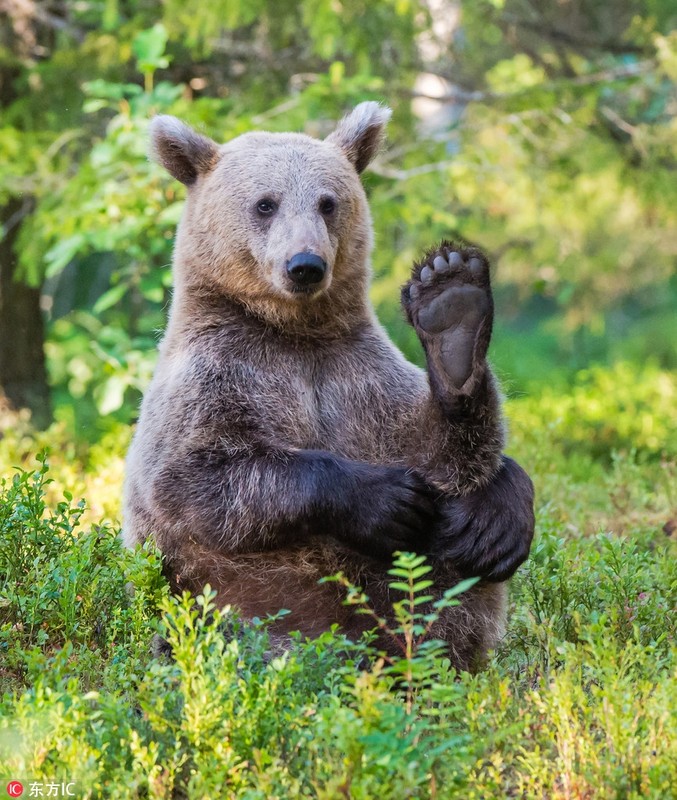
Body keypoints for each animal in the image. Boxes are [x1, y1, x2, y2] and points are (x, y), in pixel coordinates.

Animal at [121, 103, 532, 672]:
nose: (305, 265)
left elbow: (439, 454)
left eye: (327, 202)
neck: (295, 333)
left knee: (453, 578)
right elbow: (195, 477)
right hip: (248, 600)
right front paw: (386, 499)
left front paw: (450, 311)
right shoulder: (215, 376)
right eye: (265, 203)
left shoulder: (357, 379)